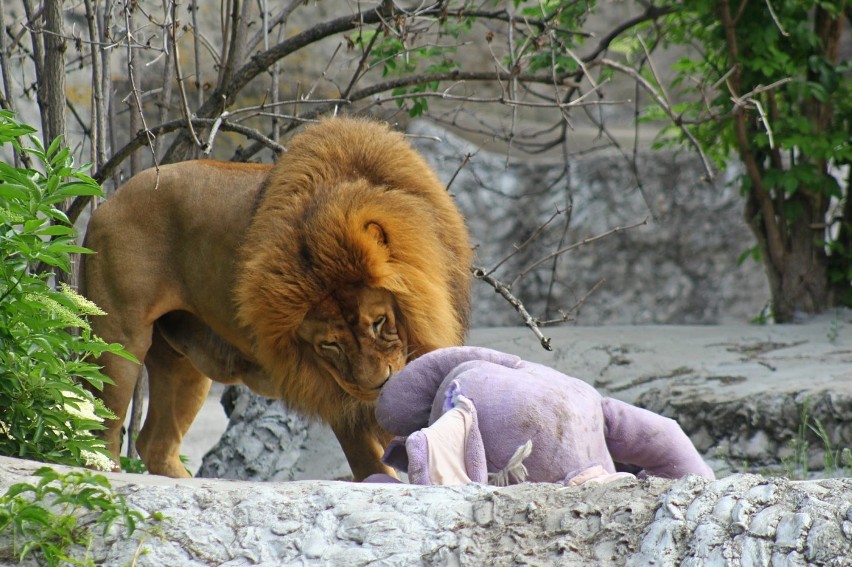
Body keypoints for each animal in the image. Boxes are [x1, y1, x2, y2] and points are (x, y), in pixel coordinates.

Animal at [81, 117, 472, 482]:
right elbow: (370, 463)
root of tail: (104, 202)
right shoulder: (337, 394)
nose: (378, 386)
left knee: (155, 444)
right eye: (329, 345)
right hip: (119, 343)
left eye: (378, 322)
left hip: (182, 365)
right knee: (100, 431)